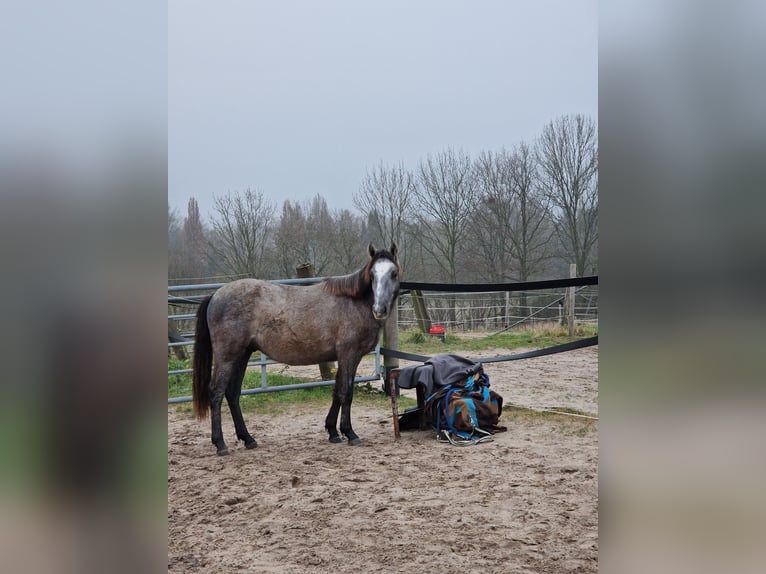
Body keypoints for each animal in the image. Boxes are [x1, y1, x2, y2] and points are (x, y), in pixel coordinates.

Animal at [192, 245, 402, 456]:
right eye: (372, 275)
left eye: (394, 273)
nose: (379, 309)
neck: (353, 302)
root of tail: (215, 295)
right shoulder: (349, 355)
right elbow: (346, 392)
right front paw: (349, 433)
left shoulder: (344, 358)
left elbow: (336, 391)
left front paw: (333, 431)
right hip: (227, 357)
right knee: (216, 392)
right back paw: (220, 444)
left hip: (242, 355)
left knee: (233, 393)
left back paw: (248, 439)